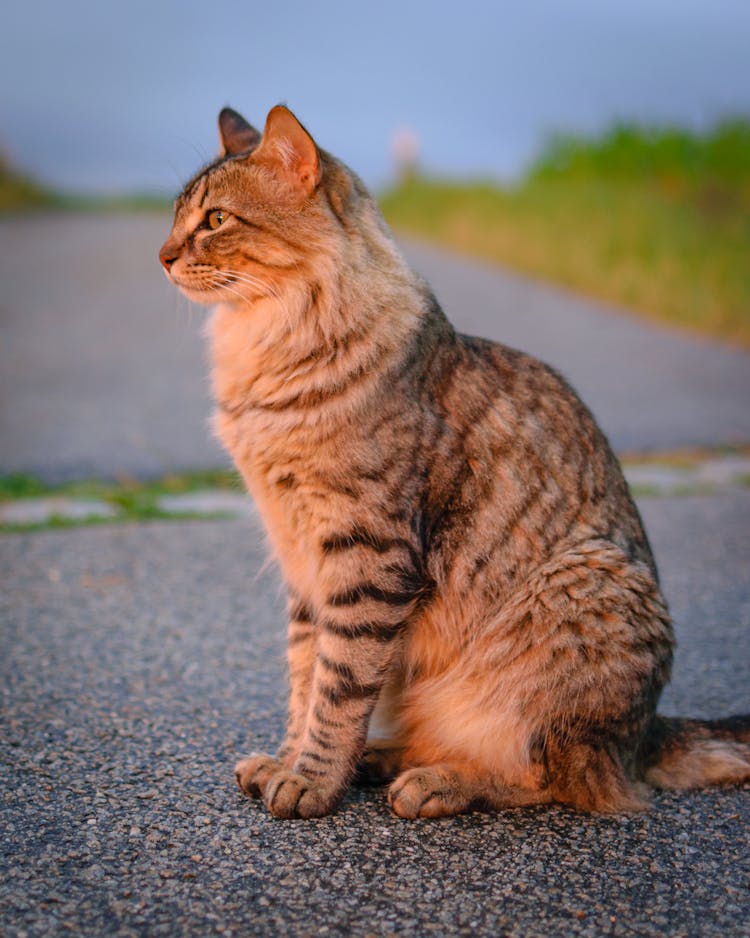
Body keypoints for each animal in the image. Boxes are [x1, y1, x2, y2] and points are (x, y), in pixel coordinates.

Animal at [160, 104, 750, 820]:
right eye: (176, 217)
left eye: (215, 220)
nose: (162, 255)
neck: (261, 352)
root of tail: (646, 733)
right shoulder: (301, 563)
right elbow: (306, 677)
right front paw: (288, 759)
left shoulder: (366, 553)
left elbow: (339, 685)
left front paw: (312, 780)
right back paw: (385, 759)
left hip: (578, 601)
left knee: (557, 778)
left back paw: (436, 782)